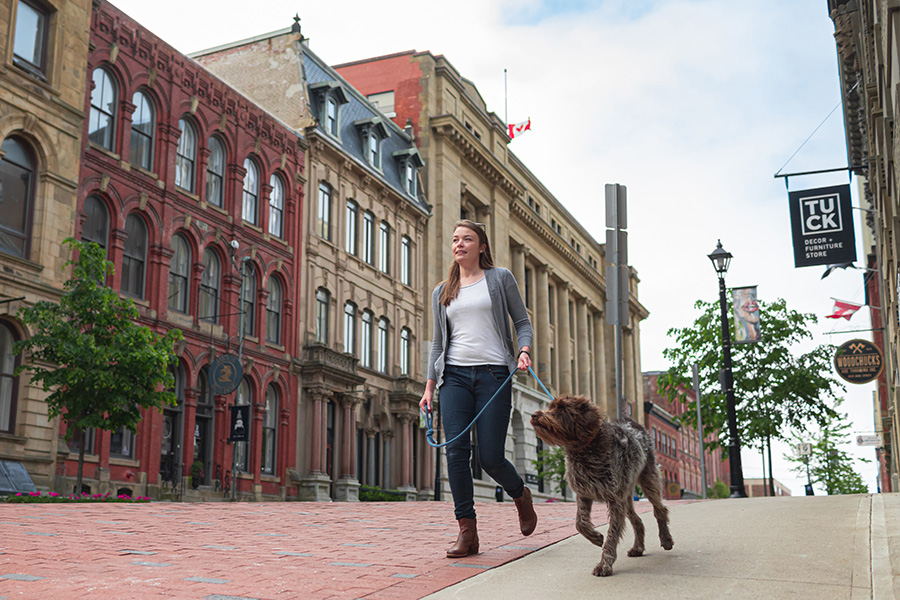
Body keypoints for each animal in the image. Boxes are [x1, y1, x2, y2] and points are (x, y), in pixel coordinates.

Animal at [532, 394, 672, 576]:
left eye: (561, 408)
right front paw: (596, 538)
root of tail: (631, 421)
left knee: (660, 509)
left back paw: (666, 540)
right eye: (551, 406)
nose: (535, 415)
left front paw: (604, 565)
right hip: (626, 497)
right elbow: (580, 523)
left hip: (648, 481)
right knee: (638, 521)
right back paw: (638, 548)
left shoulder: (615, 501)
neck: (583, 450)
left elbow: (612, 534)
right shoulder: (584, 494)